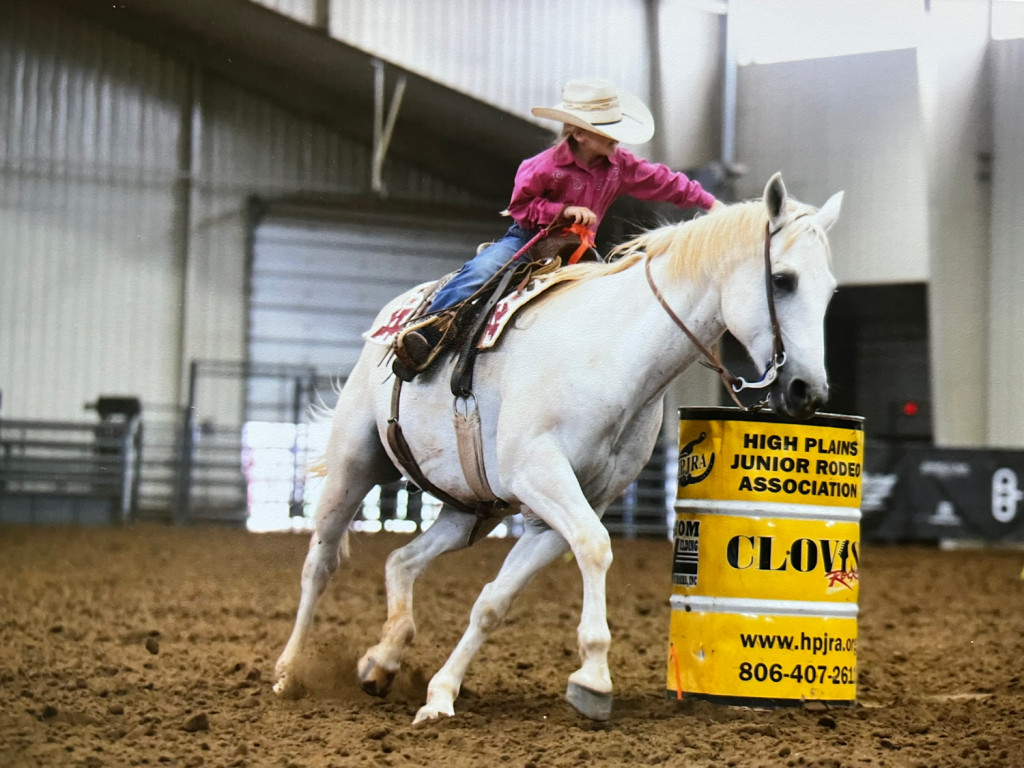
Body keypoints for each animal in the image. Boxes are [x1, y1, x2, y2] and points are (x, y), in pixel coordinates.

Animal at [272, 172, 844, 723]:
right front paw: (593, 676)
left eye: (831, 290)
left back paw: (382, 661)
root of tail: (397, 314)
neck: (612, 353)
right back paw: (287, 671)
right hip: (353, 466)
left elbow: (493, 601)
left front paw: (440, 695)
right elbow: (594, 546)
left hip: (469, 510)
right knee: (319, 564)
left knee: (401, 561)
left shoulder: (561, 508)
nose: (807, 393)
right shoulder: (540, 476)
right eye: (782, 280)